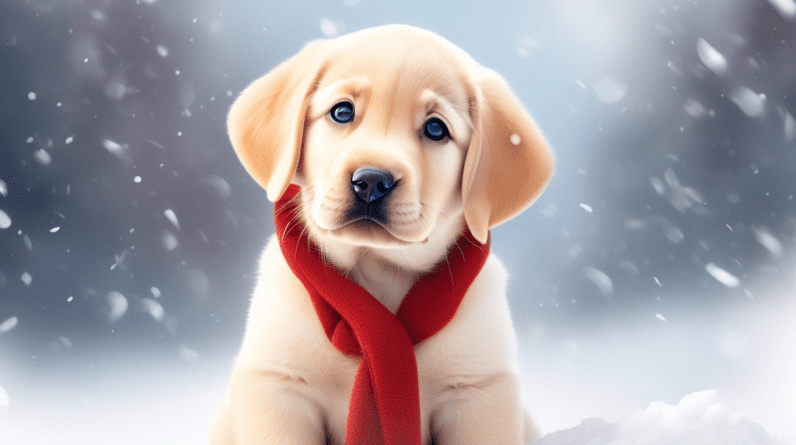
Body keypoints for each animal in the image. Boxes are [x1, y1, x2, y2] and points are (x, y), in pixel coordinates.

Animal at [211, 25, 556, 444]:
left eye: (436, 129)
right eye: (342, 112)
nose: (372, 181)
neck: (378, 275)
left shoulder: (479, 390)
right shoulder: (278, 383)